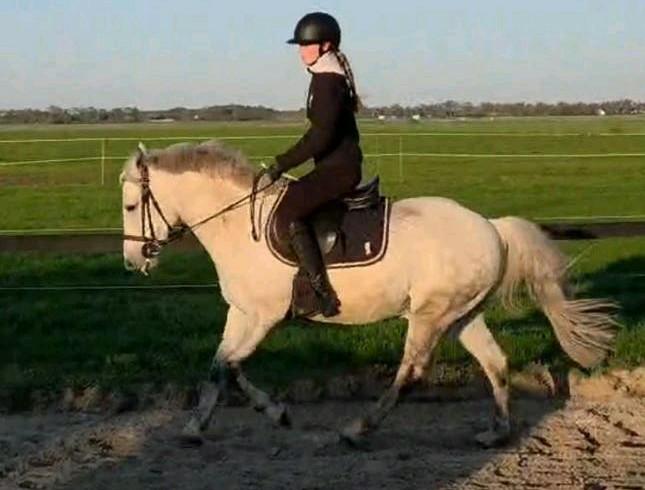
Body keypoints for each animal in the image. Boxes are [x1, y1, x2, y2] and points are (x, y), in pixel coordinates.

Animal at [120, 140, 617, 447]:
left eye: (130, 205)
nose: (133, 260)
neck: (241, 225)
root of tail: (492, 228)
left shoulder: (264, 316)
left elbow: (230, 366)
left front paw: (276, 413)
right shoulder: (241, 313)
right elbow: (220, 368)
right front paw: (195, 427)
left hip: (430, 317)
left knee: (411, 374)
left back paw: (358, 429)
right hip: (461, 316)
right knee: (495, 363)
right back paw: (496, 434)